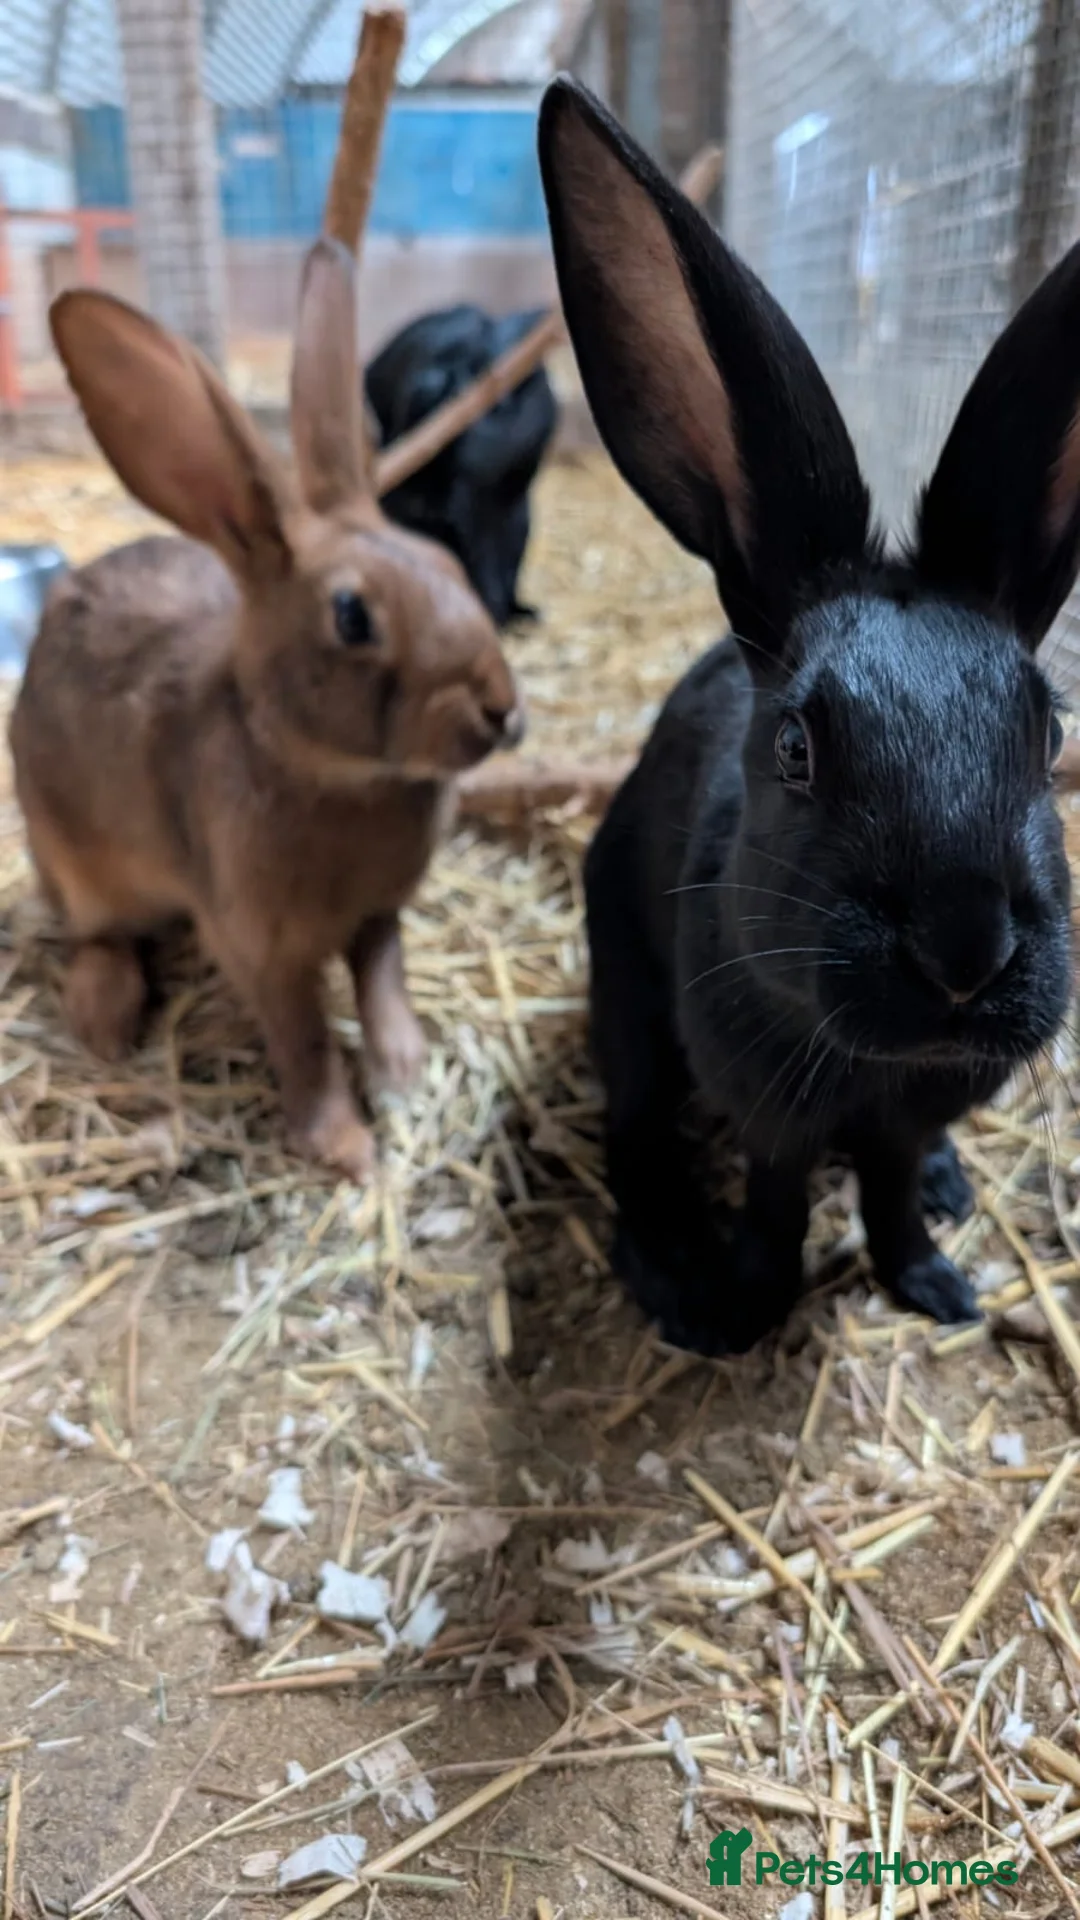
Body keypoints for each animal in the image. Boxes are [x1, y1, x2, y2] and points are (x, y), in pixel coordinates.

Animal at [10, 236, 524, 1182]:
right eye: (352, 616)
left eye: (444, 560)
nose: (501, 710)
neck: (328, 770)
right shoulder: (263, 946)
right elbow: (305, 1038)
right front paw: (345, 1145)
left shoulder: (378, 916)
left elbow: (382, 980)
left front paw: (402, 1071)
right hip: (73, 859)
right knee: (96, 934)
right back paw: (105, 1021)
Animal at [538, 77, 1075, 1354]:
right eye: (795, 748)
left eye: (1049, 736)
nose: (965, 952)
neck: (880, 1068)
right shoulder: (768, 1113)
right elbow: (780, 1204)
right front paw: (744, 1309)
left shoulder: (905, 1121)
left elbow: (890, 1188)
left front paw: (934, 1283)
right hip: (625, 994)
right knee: (635, 1122)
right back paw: (667, 1261)